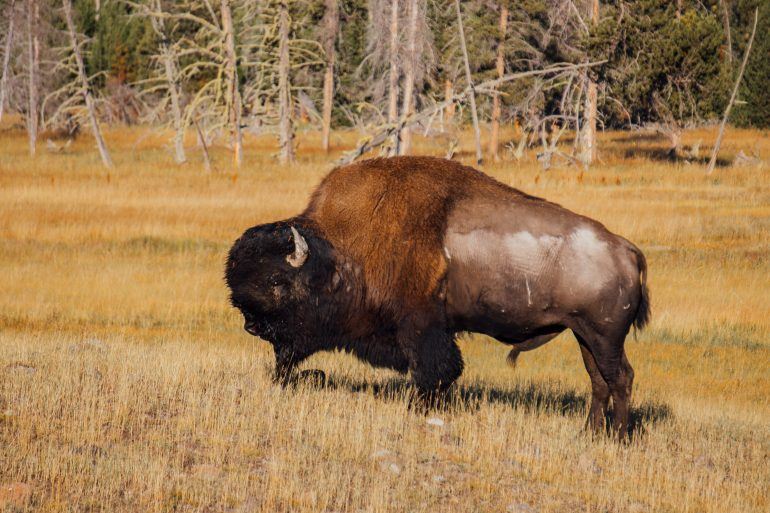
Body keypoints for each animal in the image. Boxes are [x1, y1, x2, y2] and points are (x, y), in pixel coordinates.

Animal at [225, 156, 644, 436]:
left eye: (278, 282)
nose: (251, 327)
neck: (339, 255)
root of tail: (626, 250)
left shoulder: (421, 326)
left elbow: (434, 369)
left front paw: (420, 408)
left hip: (605, 336)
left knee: (620, 377)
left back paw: (618, 436)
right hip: (584, 335)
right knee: (599, 380)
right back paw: (590, 431)